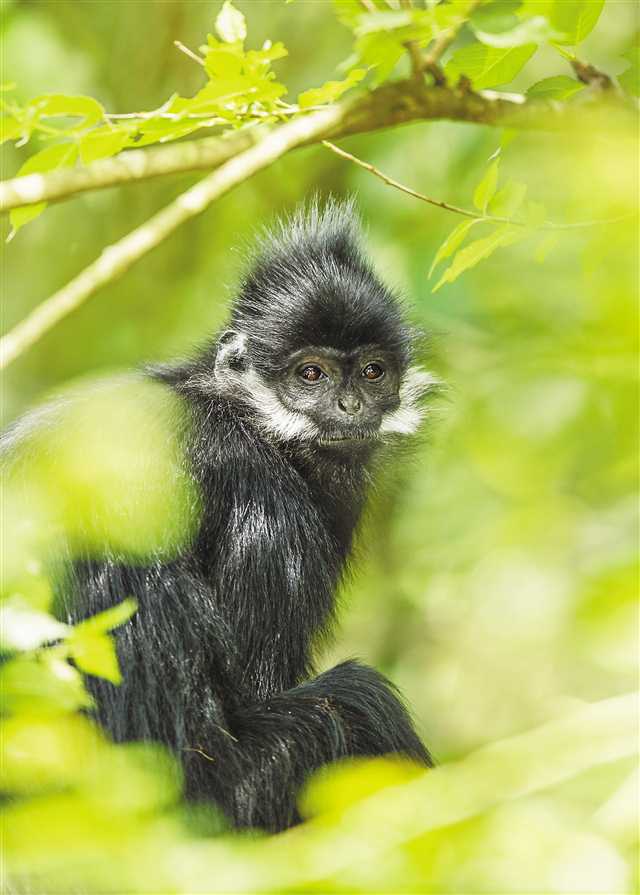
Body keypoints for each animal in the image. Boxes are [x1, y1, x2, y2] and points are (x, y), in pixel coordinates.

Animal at [2, 201, 432, 832]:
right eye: (311, 375)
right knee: (359, 702)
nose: (350, 405)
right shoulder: (266, 510)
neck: (244, 414)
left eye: (372, 372)